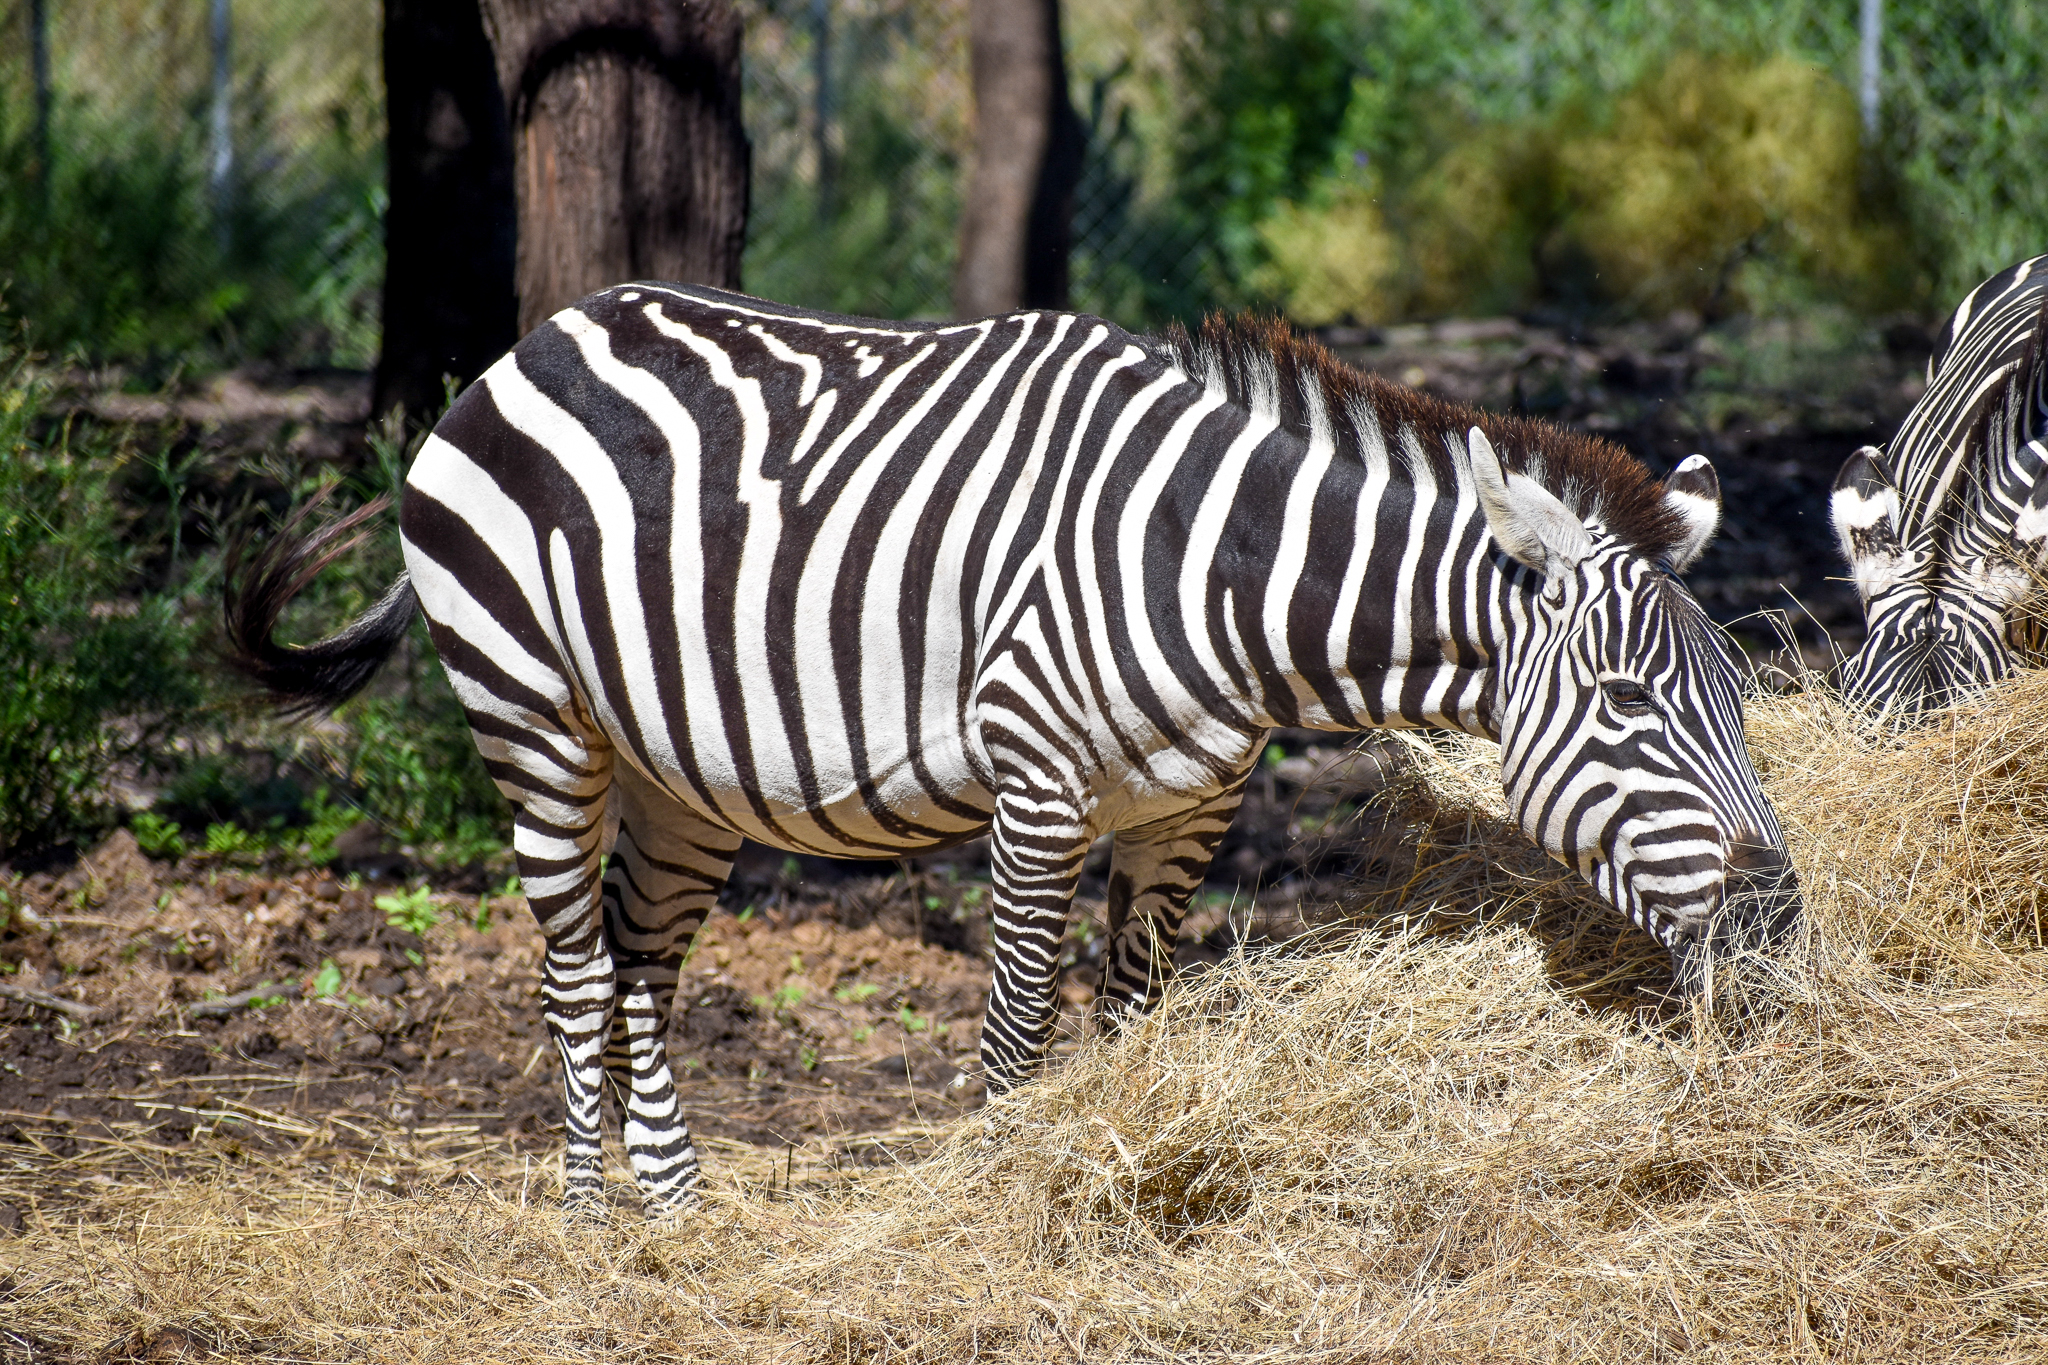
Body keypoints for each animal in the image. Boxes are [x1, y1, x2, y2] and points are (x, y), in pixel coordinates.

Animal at [227, 286, 1801, 1213]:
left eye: (1734, 696)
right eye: (1626, 703)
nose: (1778, 920)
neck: (1222, 575)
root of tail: (527, 344)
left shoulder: (1188, 812)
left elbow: (1134, 1008)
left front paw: (1140, 1176)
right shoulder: (1038, 791)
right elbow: (1014, 1029)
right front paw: (1001, 1198)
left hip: (683, 773)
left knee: (636, 961)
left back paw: (671, 1208)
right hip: (532, 715)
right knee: (564, 967)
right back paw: (588, 1221)